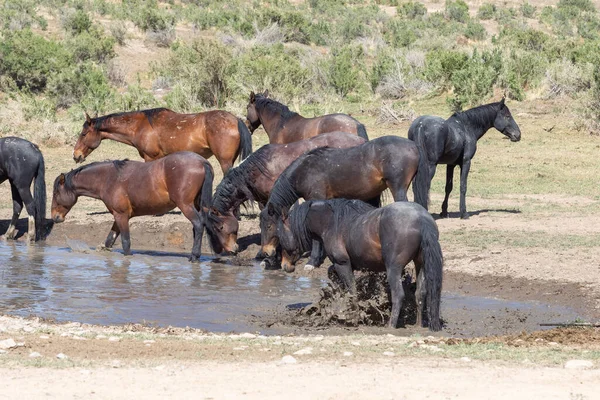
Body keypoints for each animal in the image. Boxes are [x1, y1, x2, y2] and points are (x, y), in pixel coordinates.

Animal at [51, 152, 214, 260]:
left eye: (56, 193)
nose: (55, 217)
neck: (109, 178)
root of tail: (201, 161)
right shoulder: (118, 216)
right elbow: (110, 241)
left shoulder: (121, 216)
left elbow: (126, 243)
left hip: (185, 205)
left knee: (198, 224)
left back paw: (194, 256)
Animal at [74, 108, 252, 173]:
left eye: (83, 134)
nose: (76, 155)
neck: (140, 126)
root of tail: (235, 120)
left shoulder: (150, 157)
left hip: (225, 161)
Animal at [260, 136, 420, 270]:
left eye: (269, 226)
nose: (266, 252)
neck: (304, 170)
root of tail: (413, 146)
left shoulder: (315, 198)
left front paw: (312, 262)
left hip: (397, 188)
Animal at [276, 198, 440, 332]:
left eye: (279, 234)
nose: (285, 266)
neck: (331, 222)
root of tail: (421, 218)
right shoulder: (346, 264)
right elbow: (333, 274)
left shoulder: (342, 263)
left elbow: (352, 291)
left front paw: (352, 316)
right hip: (421, 265)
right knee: (420, 293)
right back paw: (418, 325)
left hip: (393, 269)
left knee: (398, 295)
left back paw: (391, 325)